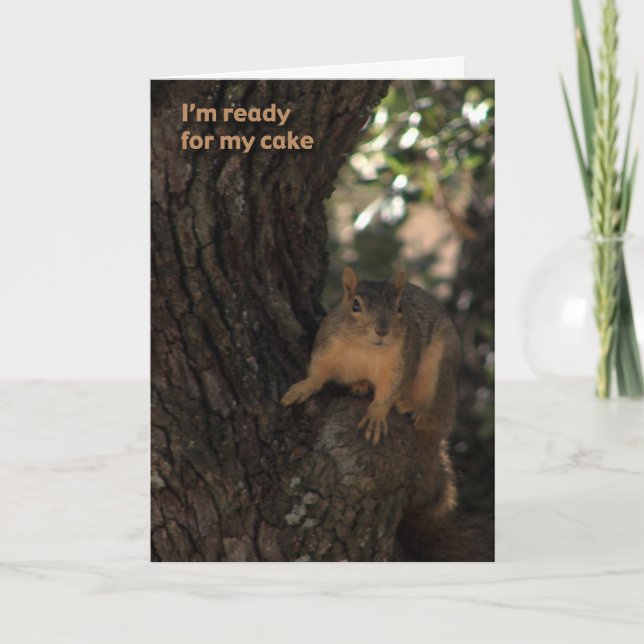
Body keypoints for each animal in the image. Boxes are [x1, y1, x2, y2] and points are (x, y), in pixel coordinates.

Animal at [281, 267, 462, 519]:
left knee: (434, 417)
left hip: (439, 373)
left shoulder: (400, 364)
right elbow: (317, 373)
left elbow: (388, 392)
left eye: (399, 308)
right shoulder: (327, 347)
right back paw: (361, 386)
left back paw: (413, 408)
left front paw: (376, 415)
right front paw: (304, 387)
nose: (382, 331)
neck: (365, 348)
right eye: (355, 306)